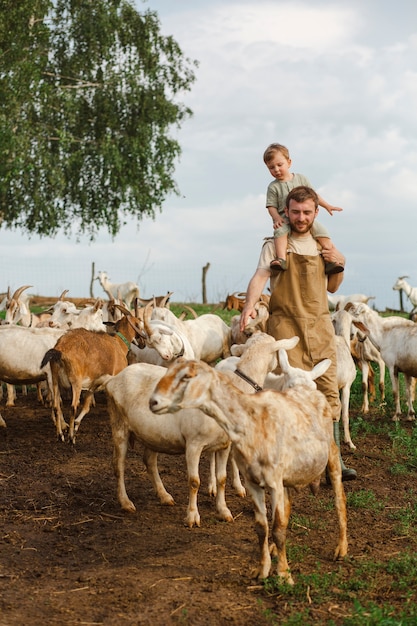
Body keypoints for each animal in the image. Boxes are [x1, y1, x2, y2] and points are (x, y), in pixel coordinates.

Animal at [40, 308, 145, 438]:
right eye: (139, 324)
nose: (143, 343)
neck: (118, 344)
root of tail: (60, 349)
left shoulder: (93, 384)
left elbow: (86, 406)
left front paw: (76, 424)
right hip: (76, 383)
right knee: (73, 407)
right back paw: (70, 437)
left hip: (55, 380)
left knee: (56, 406)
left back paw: (60, 435)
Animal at [150, 354, 348, 584]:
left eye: (187, 376)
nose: (153, 402)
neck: (250, 421)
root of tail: (310, 390)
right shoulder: (254, 481)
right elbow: (262, 527)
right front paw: (263, 569)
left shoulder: (274, 482)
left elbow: (278, 528)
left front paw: (284, 575)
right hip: (287, 475)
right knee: (287, 509)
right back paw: (274, 549)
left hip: (331, 455)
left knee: (339, 500)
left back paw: (341, 548)